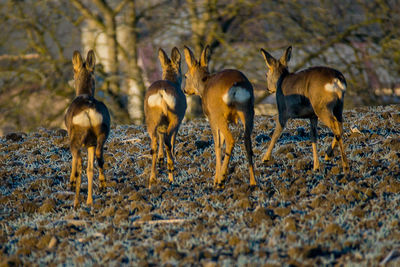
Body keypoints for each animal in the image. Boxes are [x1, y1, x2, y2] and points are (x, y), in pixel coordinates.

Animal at [65, 50, 110, 209]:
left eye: (73, 73)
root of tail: (89, 111)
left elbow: (74, 162)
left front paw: (71, 183)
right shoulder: (90, 143)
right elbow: (90, 169)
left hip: (76, 138)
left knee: (79, 163)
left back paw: (76, 202)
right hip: (102, 133)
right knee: (97, 158)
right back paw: (98, 190)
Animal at [145, 47, 187, 189]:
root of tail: (161, 93)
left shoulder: (161, 125)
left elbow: (160, 137)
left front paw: (160, 159)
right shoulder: (179, 121)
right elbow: (172, 141)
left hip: (151, 119)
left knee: (154, 143)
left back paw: (152, 180)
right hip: (175, 117)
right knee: (169, 139)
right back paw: (171, 174)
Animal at [184, 45, 256, 188]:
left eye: (185, 76)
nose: (185, 90)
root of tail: (237, 85)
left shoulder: (211, 117)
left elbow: (217, 145)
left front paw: (216, 180)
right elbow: (221, 143)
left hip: (219, 113)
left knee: (231, 139)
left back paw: (222, 179)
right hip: (248, 109)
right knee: (247, 141)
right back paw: (253, 182)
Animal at [260, 46, 350, 175]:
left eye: (266, 74)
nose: (268, 89)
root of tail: (337, 79)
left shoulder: (283, 111)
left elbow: (276, 133)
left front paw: (265, 158)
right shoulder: (312, 116)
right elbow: (313, 137)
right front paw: (316, 166)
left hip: (321, 106)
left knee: (335, 127)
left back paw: (345, 165)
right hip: (338, 105)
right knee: (340, 126)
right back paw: (328, 155)